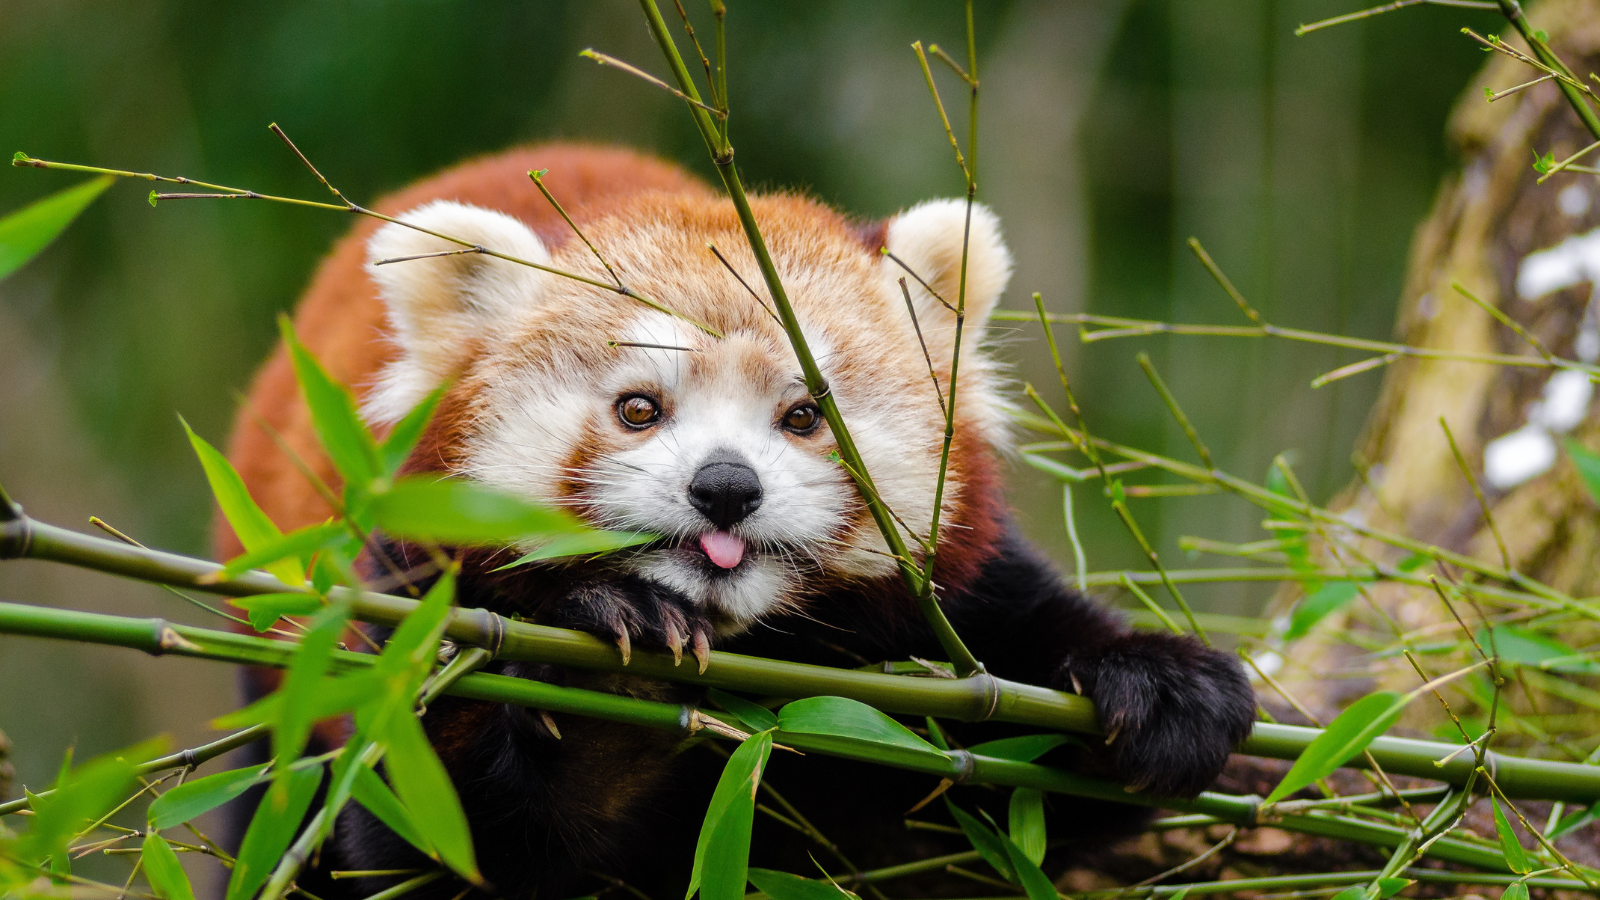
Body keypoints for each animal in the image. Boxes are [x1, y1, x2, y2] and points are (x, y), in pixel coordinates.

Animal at [221, 143, 1256, 900]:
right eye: (639, 408)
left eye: (803, 416)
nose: (725, 487)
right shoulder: (415, 609)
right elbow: (423, 835)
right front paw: (615, 662)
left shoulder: (954, 617)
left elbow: (1018, 771)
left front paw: (1164, 685)